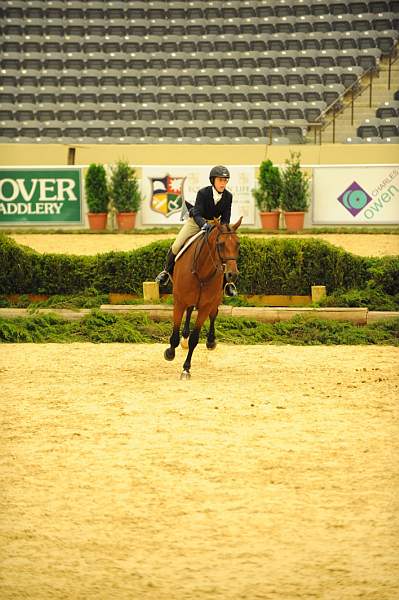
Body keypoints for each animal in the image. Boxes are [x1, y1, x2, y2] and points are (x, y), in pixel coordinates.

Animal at [163, 218, 244, 380]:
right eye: (221, 244)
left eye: (238, 244)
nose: (232, 274)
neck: (201, 272)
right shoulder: (179, 301)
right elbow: (175, 332)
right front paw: (170, 352)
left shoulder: (206, 305)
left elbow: (195, 338)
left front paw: (186, 369)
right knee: (189, 311)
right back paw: (184, 338)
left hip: (215, 299)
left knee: (213, 314)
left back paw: (210, 341)